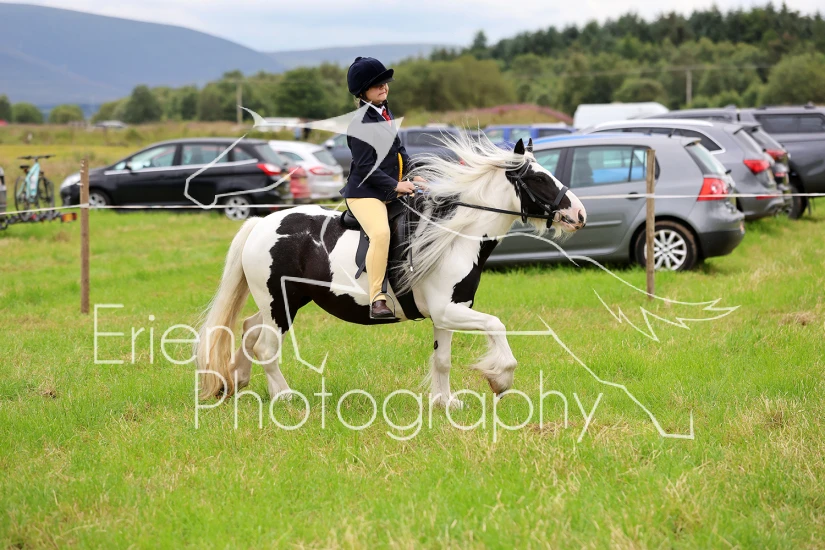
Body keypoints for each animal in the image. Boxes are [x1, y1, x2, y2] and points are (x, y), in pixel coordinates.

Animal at [194, 136, 587, 408]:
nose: (580, 214)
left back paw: (236, 382)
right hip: (281, 303)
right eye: (538, 178)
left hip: (280, 302)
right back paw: (285, 396)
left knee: (249, 330)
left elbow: (443, 360)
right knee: (265, 346)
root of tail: (261, 223)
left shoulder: (448, 313)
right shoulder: (449, 310)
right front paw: (500, 379)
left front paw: (446, 403)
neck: (456, 236)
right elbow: (497, 325)